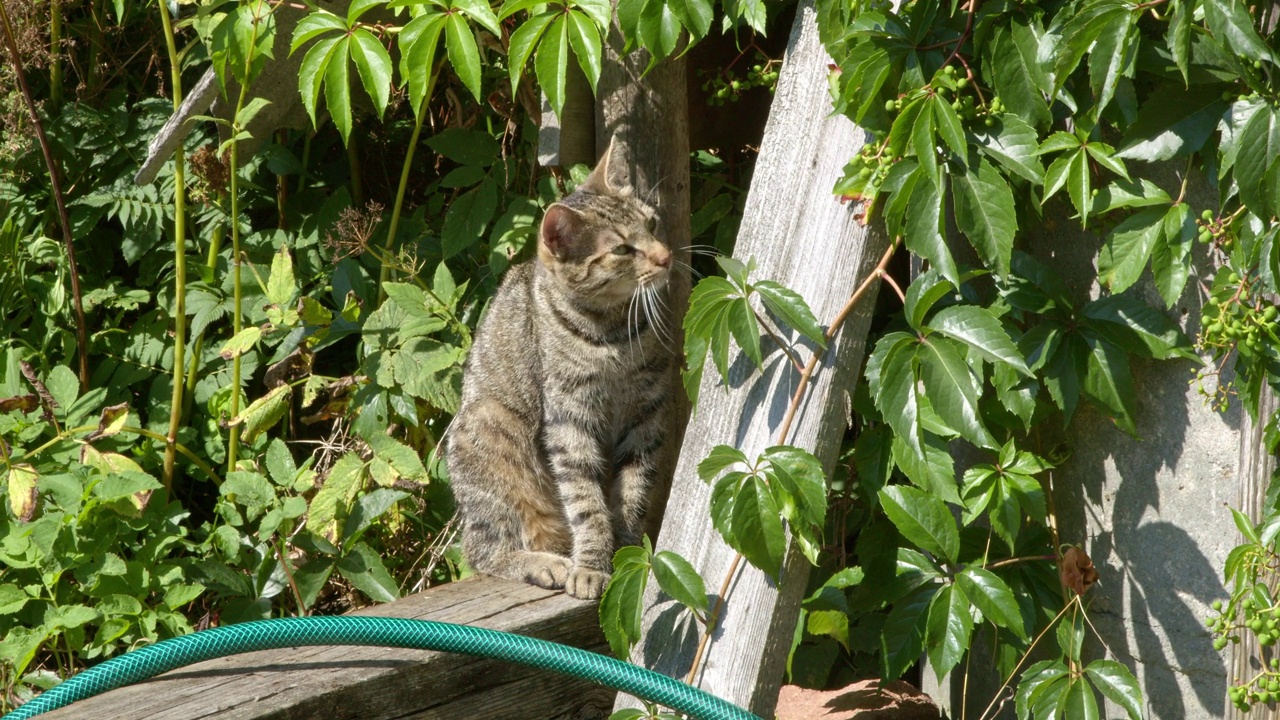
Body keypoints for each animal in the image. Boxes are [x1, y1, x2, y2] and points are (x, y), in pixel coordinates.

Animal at [445, 141, 675, 599]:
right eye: (622, 249)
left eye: (652, 223)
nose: (666, 256)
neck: (612, 333)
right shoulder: (570, 417)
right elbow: (586, 501)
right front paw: (591, 564)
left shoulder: (646, 411)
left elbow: (633, 490)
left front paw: (626, 551)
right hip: (490, 429)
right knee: (483, 551)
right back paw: (544, 563)